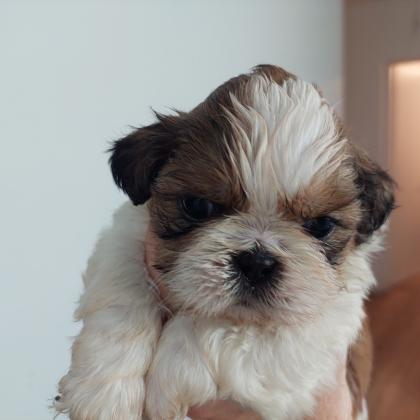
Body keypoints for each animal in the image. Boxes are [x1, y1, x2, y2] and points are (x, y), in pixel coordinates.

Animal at [55, 65, 394, 419]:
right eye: (198, 206)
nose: (257, 262)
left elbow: (237, 334)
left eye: (320, 225)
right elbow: (122, 289)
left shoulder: (322, 329)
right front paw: (105, 388)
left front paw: (169, 374)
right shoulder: (128, 236)